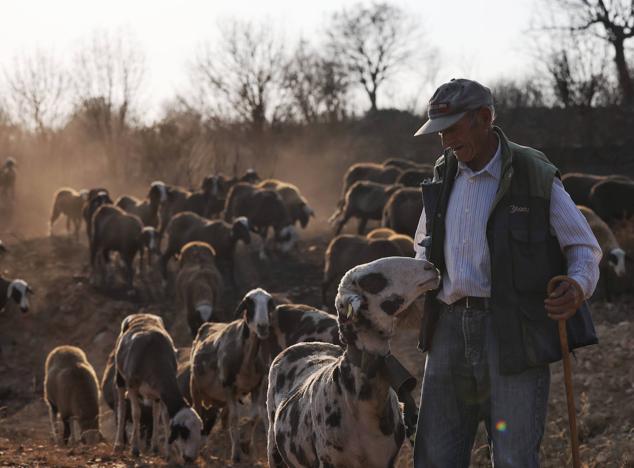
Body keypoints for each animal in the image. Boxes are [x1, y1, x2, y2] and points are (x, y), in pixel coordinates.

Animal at [112, 312, 201, 462]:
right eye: (184, 432)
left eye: (200, 432)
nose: (190, 458)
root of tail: (140, 314)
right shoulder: (132, 385)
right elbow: (136, 413)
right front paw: (135, 449)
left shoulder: (161, 392)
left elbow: (164, 416)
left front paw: (168, 453)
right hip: (120, 378)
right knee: (122, 406)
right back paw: (118, 444)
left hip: (155, 393)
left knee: (155, 410)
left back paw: (155, 447)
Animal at [266, 256, 440, 468]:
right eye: (372, 280)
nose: (431, 267)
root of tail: (305, 345)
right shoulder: (329, 460)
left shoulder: (385, 460)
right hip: (274, 448)